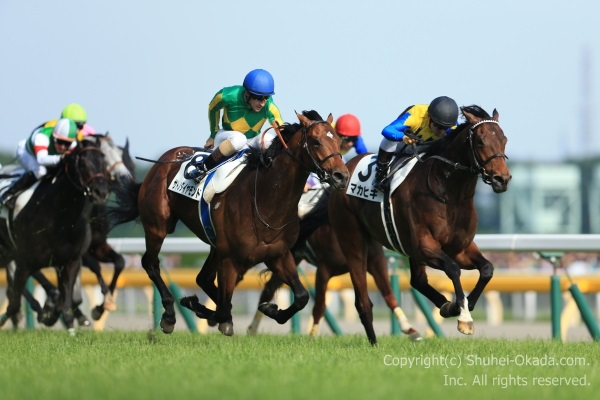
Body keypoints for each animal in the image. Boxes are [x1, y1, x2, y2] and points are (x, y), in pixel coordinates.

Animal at [0, 136, 109, 332]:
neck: (57, 213)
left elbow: (67, 302)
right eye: (83, 163)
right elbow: (14, 301)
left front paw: (70, 323)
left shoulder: (70, 261)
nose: (101, 193)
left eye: (104, 163)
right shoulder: (25, 260)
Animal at [108, 111, 350, 334]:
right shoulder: (231, 258)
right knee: (151, 263)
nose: (341, 176)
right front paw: (202, 309)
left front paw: (270, 309)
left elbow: (301, 296)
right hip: (158, 226)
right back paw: (169, 315)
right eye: (316, 141)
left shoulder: (278, 255)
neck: (266, 201)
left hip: (215, 245)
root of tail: (166, 159)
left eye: (338, 141)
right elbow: (224, 310)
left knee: (203, 278)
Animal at [328, 105, 510, 344]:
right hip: (354, 240)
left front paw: (463, 304)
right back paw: (374, 342)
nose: (502, 179)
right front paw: (463, 316)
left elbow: (487, 268)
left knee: (418, 280)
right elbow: (453, 269)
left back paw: (445, 305)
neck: (448, 194)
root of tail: (345, 168)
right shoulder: (425, 245)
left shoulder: (459, 248)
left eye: (504, 139)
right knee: (363, 300)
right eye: (480, 141)